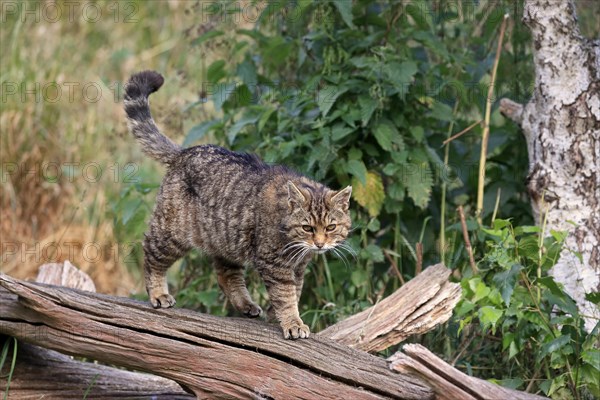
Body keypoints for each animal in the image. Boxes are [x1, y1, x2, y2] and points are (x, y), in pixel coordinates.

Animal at [125, 71, 354, 338]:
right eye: (307, 228)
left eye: (330, 227)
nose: (319, 244)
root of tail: (184, 152)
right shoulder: (275, 264)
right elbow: (286, 296)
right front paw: (293, 323)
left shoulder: (298, 268)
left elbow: (293, 293)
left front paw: (279, 318)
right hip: (173, 233)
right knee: (151, 253)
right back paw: (159, 293)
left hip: (226, 238)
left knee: (226, 275)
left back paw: (246, 304)